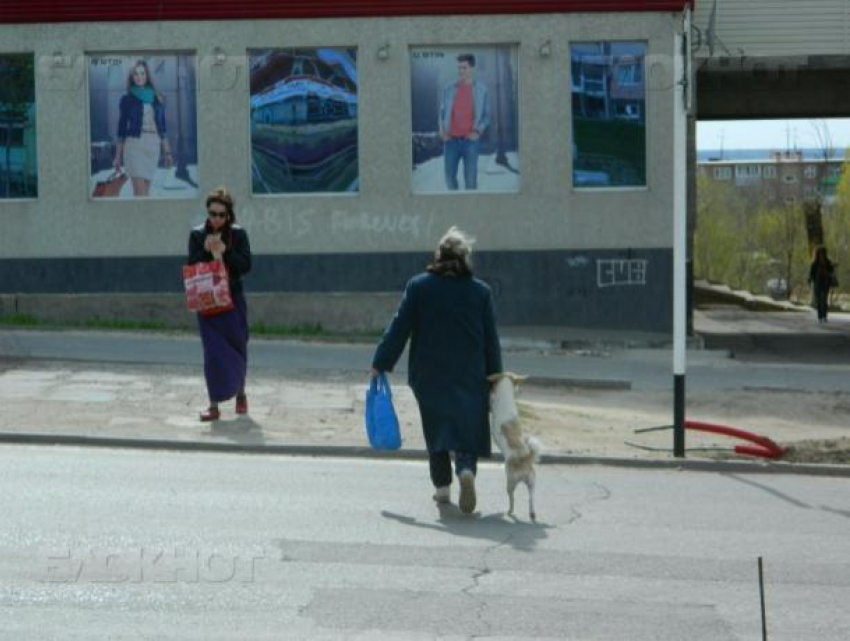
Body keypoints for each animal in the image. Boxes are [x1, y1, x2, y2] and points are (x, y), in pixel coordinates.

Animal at [486, 372, 540, 516]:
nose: (519, 391)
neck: (506, 392)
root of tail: (525, 460)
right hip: (532, 483)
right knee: (531, 498)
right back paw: (532, 513)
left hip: (510, 482)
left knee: (512, 498)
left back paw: (510, 511)